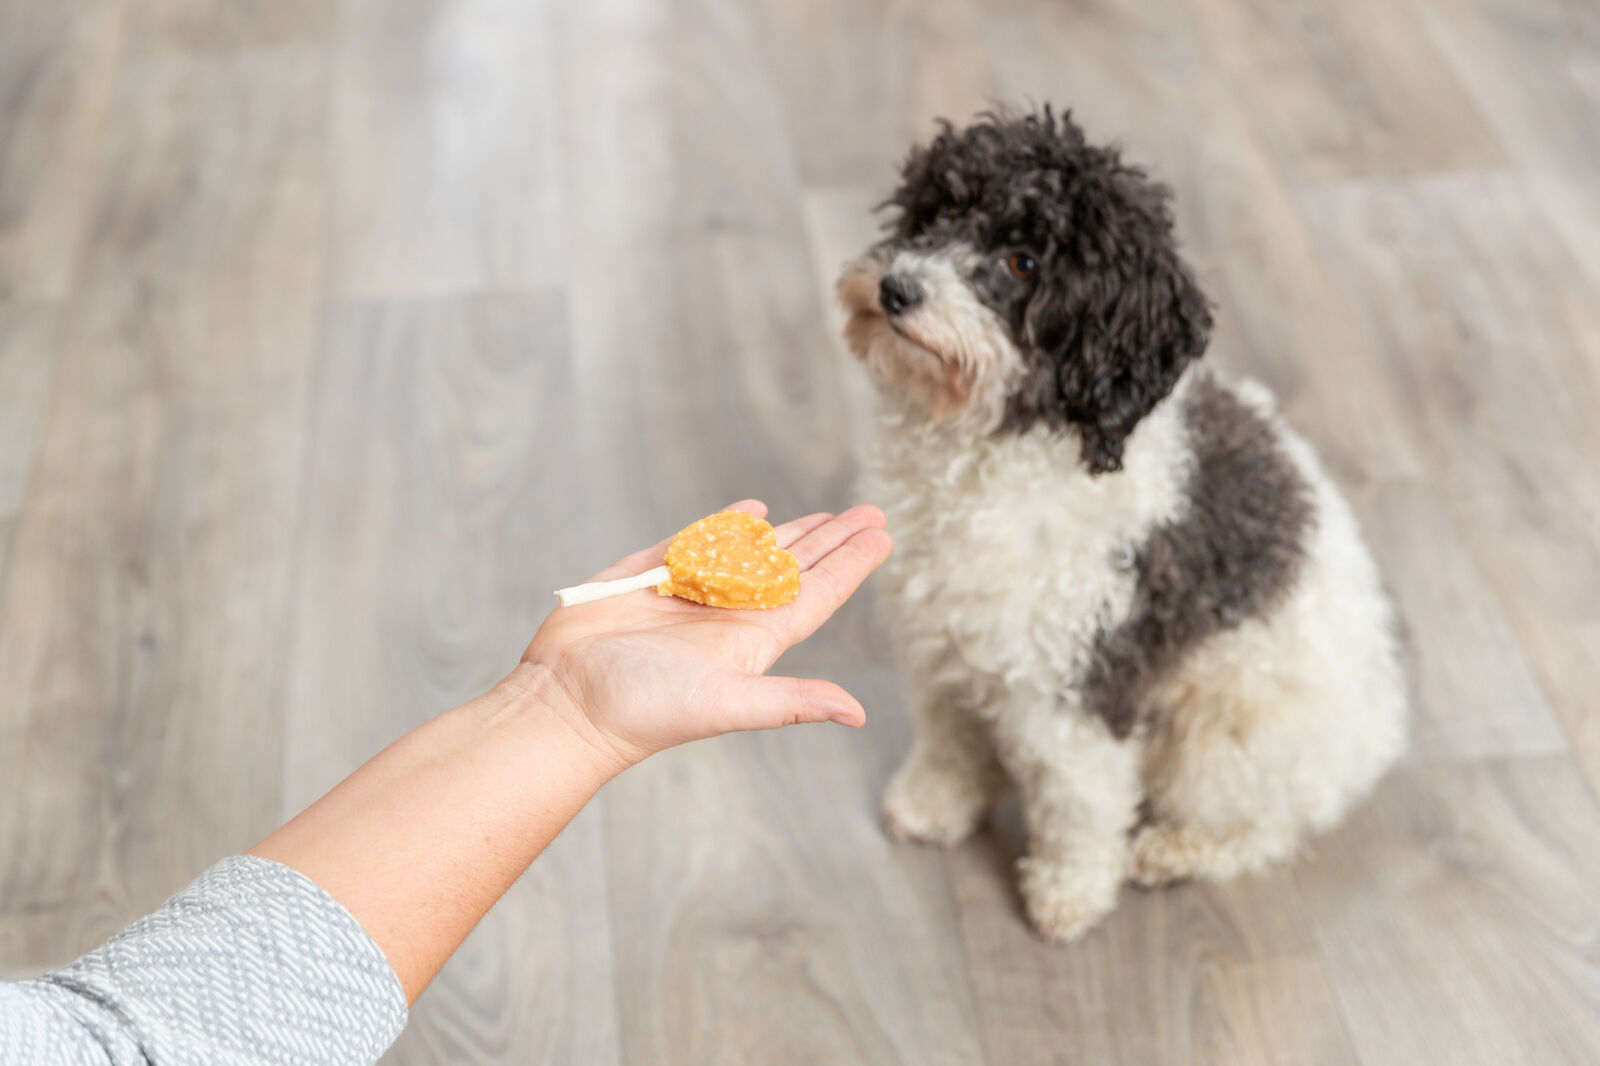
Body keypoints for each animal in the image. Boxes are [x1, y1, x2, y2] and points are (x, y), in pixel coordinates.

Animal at [838, 108, 1401, 941]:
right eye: (936, 213)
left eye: (1022, 262)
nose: (897, 288)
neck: (992, 452)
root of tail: (1377, 730)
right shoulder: (942, 640)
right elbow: (948, 738)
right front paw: (933, 806)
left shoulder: (1083, 676)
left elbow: (1079, 800)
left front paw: (1067, 895)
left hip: (1225, 737)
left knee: (1266, 829)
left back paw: (1173, 851)